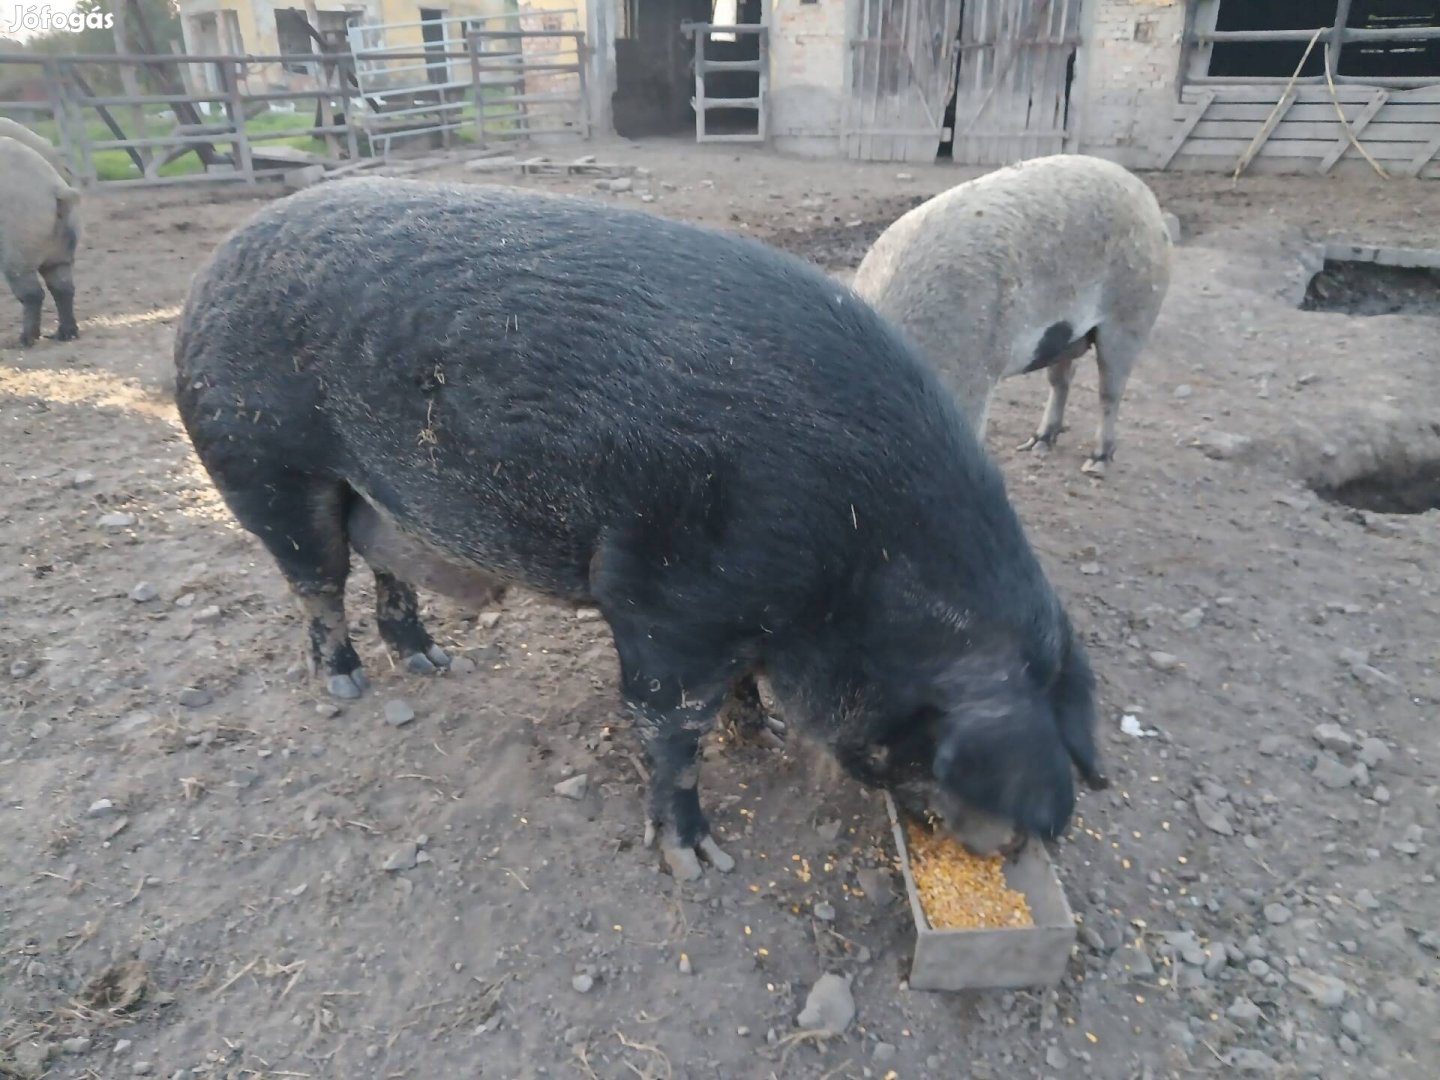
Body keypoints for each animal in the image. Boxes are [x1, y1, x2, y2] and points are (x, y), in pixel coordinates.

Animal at [171, 182, 1111, 881]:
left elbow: (738, 691)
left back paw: (432, 662)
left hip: (367, 492)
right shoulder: (664, 600)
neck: (859, 563)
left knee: (382, 565)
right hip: (262, 461)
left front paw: (764, 736)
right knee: (315, 580)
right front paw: (699, 861)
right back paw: (347, 683)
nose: (1018, 841)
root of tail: (208, 274)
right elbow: (672, 727)